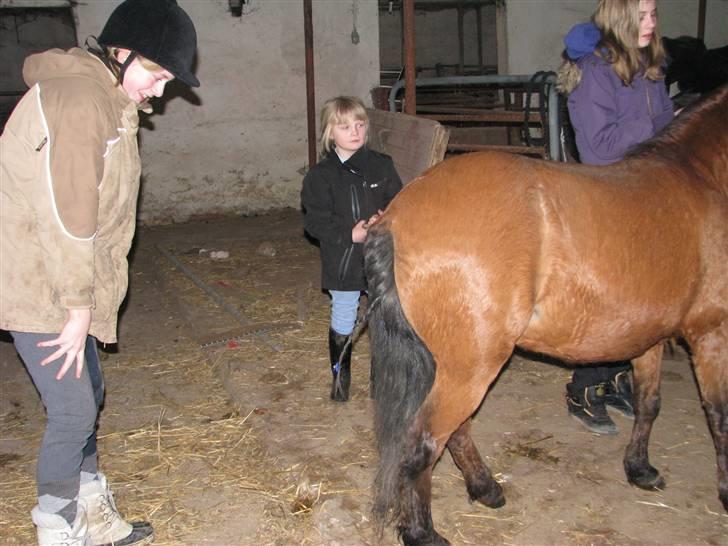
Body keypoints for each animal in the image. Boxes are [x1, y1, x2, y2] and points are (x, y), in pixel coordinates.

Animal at [366, 83, 728, 540]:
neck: (699, 177)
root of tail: (396, 215)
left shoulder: (650, 337)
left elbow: (649, 403)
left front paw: (639, 468)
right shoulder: (712, 333)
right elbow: (720, 416)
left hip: (452, 365)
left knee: (453, 432)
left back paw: (485, 487)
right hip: (471, 367)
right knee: (424, 444)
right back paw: (423, 533)